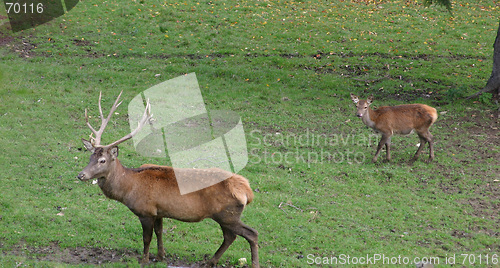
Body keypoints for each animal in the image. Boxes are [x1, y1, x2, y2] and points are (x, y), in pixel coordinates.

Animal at [78, 91, 260, 266]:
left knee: (251, 234)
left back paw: (252, 264)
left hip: (228, 214)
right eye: (90, 157)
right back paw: (210, 262)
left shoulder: (145, 211)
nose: (81, 175)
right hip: (226, 216)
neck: (128, 188)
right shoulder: (159, 211)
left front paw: (144, 260)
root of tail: (247, 191)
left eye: (102, 160)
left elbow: (147, 238)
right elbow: (159, 232)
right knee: (230, 237)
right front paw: (160, 256)